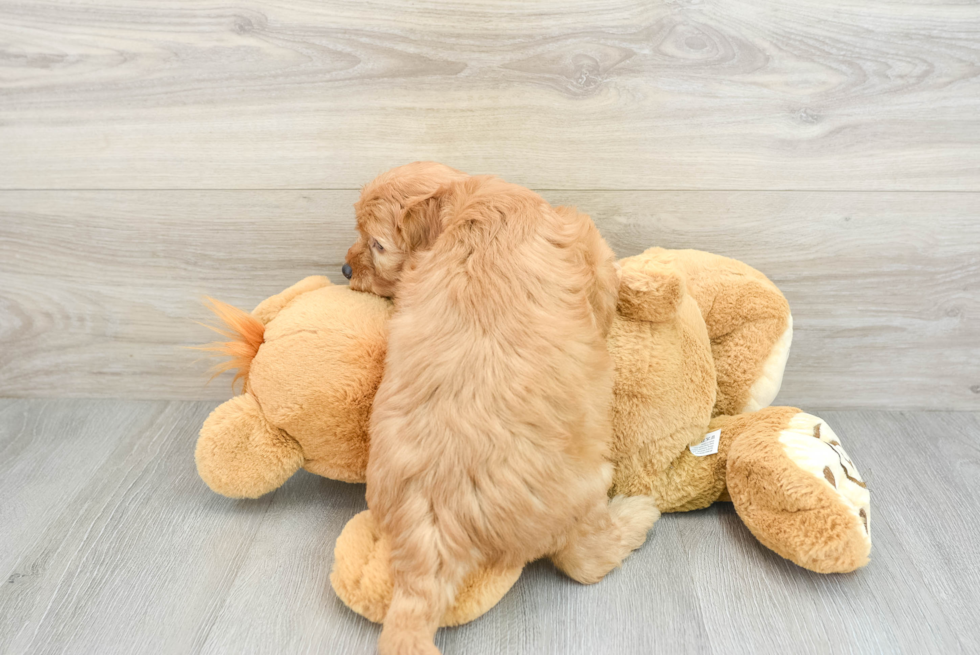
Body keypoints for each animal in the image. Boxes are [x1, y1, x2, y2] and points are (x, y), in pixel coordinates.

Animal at [344, 164, 660, 655]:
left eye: (375, 245)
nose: (343, 269)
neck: (469, 204)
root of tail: (434, 535)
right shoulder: (586, 243)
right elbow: (606, 285)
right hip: (582, 491)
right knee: (584, 560)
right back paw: (637, 515)